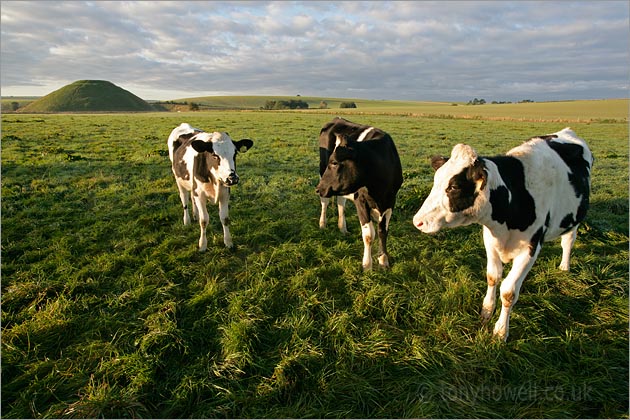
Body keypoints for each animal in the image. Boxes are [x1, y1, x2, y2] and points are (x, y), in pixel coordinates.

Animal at [170, 123, 256, 251]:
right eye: (215, 155)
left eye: (235, 154)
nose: (232, 178)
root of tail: (184, 125)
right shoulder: (200, 195)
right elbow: (204, 220)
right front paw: (202, 245)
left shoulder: (225, 194)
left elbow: (225, 218)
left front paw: (228, 242)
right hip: (179, 180)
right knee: (184, 199)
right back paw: (187, 221)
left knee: (192, 197)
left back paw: (195, 214)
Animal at [318, 116, 402, 270]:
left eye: (334, 162)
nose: (318, 188)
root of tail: (336, 118)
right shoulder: (361, 200)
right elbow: (369, 235)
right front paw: (367, 265)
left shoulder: (390, 201)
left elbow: (383, 231)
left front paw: (383, 260)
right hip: (322, 174)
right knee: (324, 201)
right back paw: (322, 223)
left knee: (341, 201)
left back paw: (343, 228)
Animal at [412, 128, 596, 342]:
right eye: (435, 181)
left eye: (454, 187)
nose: (418, 221)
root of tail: (565, 131)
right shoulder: (490, 241)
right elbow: (492, 276)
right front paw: (486, 310)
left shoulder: (530, 249)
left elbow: (508, 292)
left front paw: (501, 331)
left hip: (574, 217)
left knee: (568, 241)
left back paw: (564, 266)